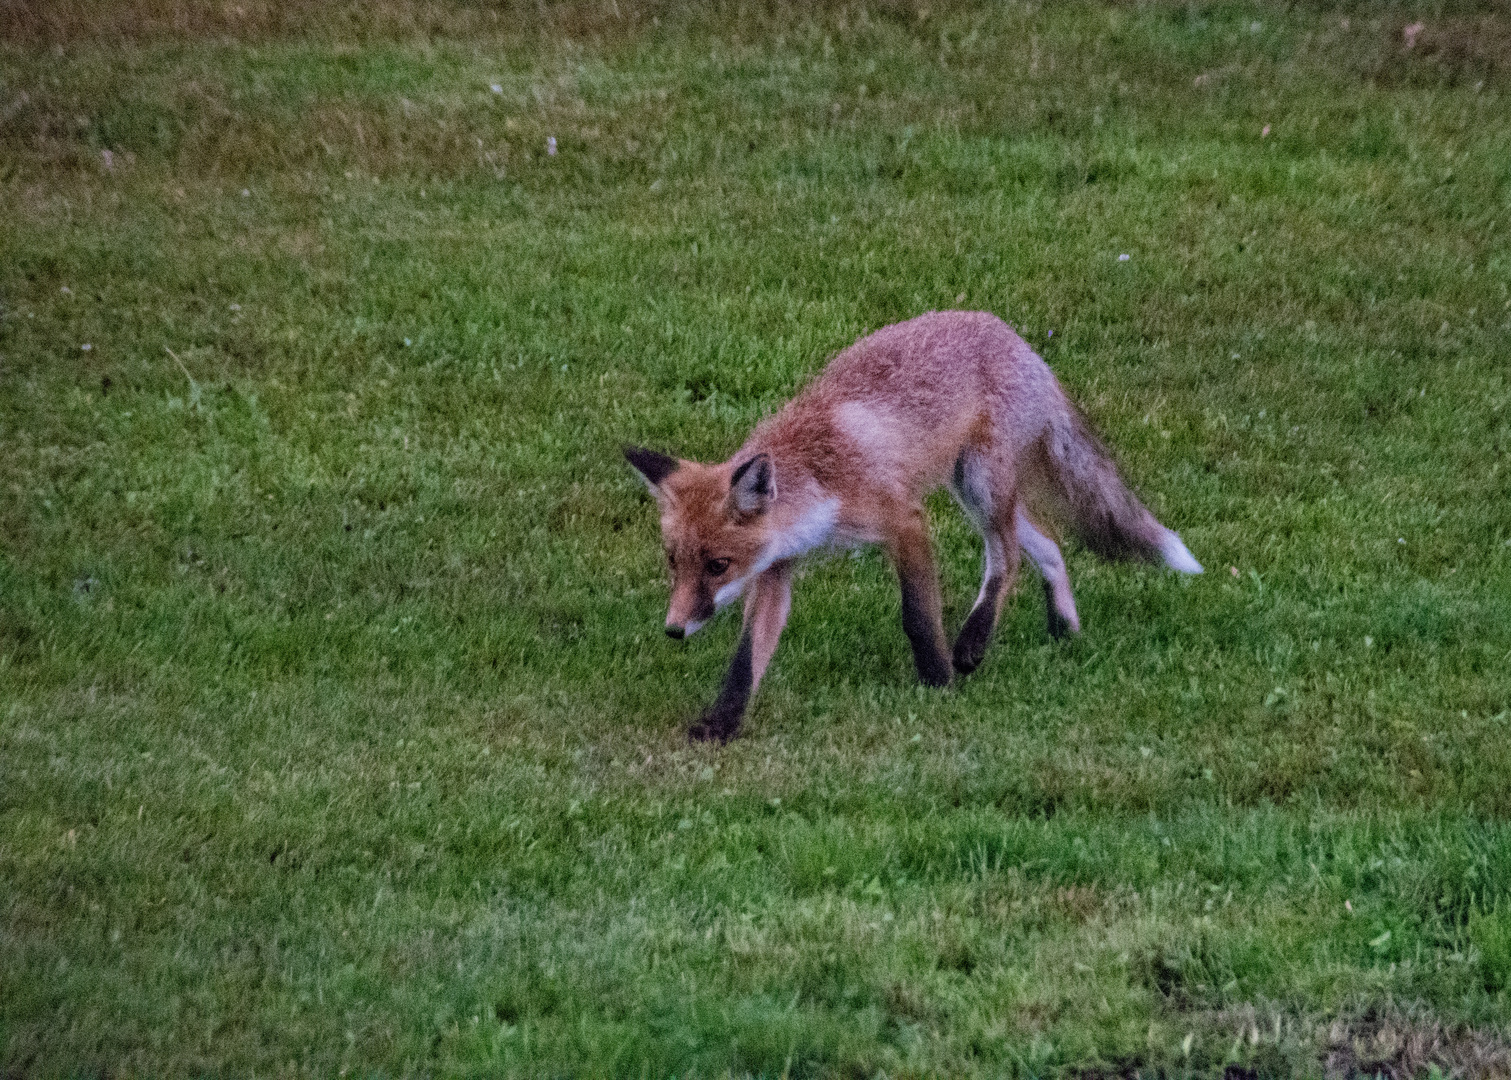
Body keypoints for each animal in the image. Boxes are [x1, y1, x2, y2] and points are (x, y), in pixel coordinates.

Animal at [619, 308, 1196, 740]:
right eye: (674, 562)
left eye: (718, 565)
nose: (673, 630)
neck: (818, 480)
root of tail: (1012, 335)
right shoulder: (777, 567)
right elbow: (746, 660)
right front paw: (720, 724)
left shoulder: (905, 522)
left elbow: (918, 616)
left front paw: (939, 683)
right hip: (975, 489)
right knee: (1049, 544)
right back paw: (1064, 629)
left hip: (981, 485)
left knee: (1006, 558)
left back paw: (973, 643)